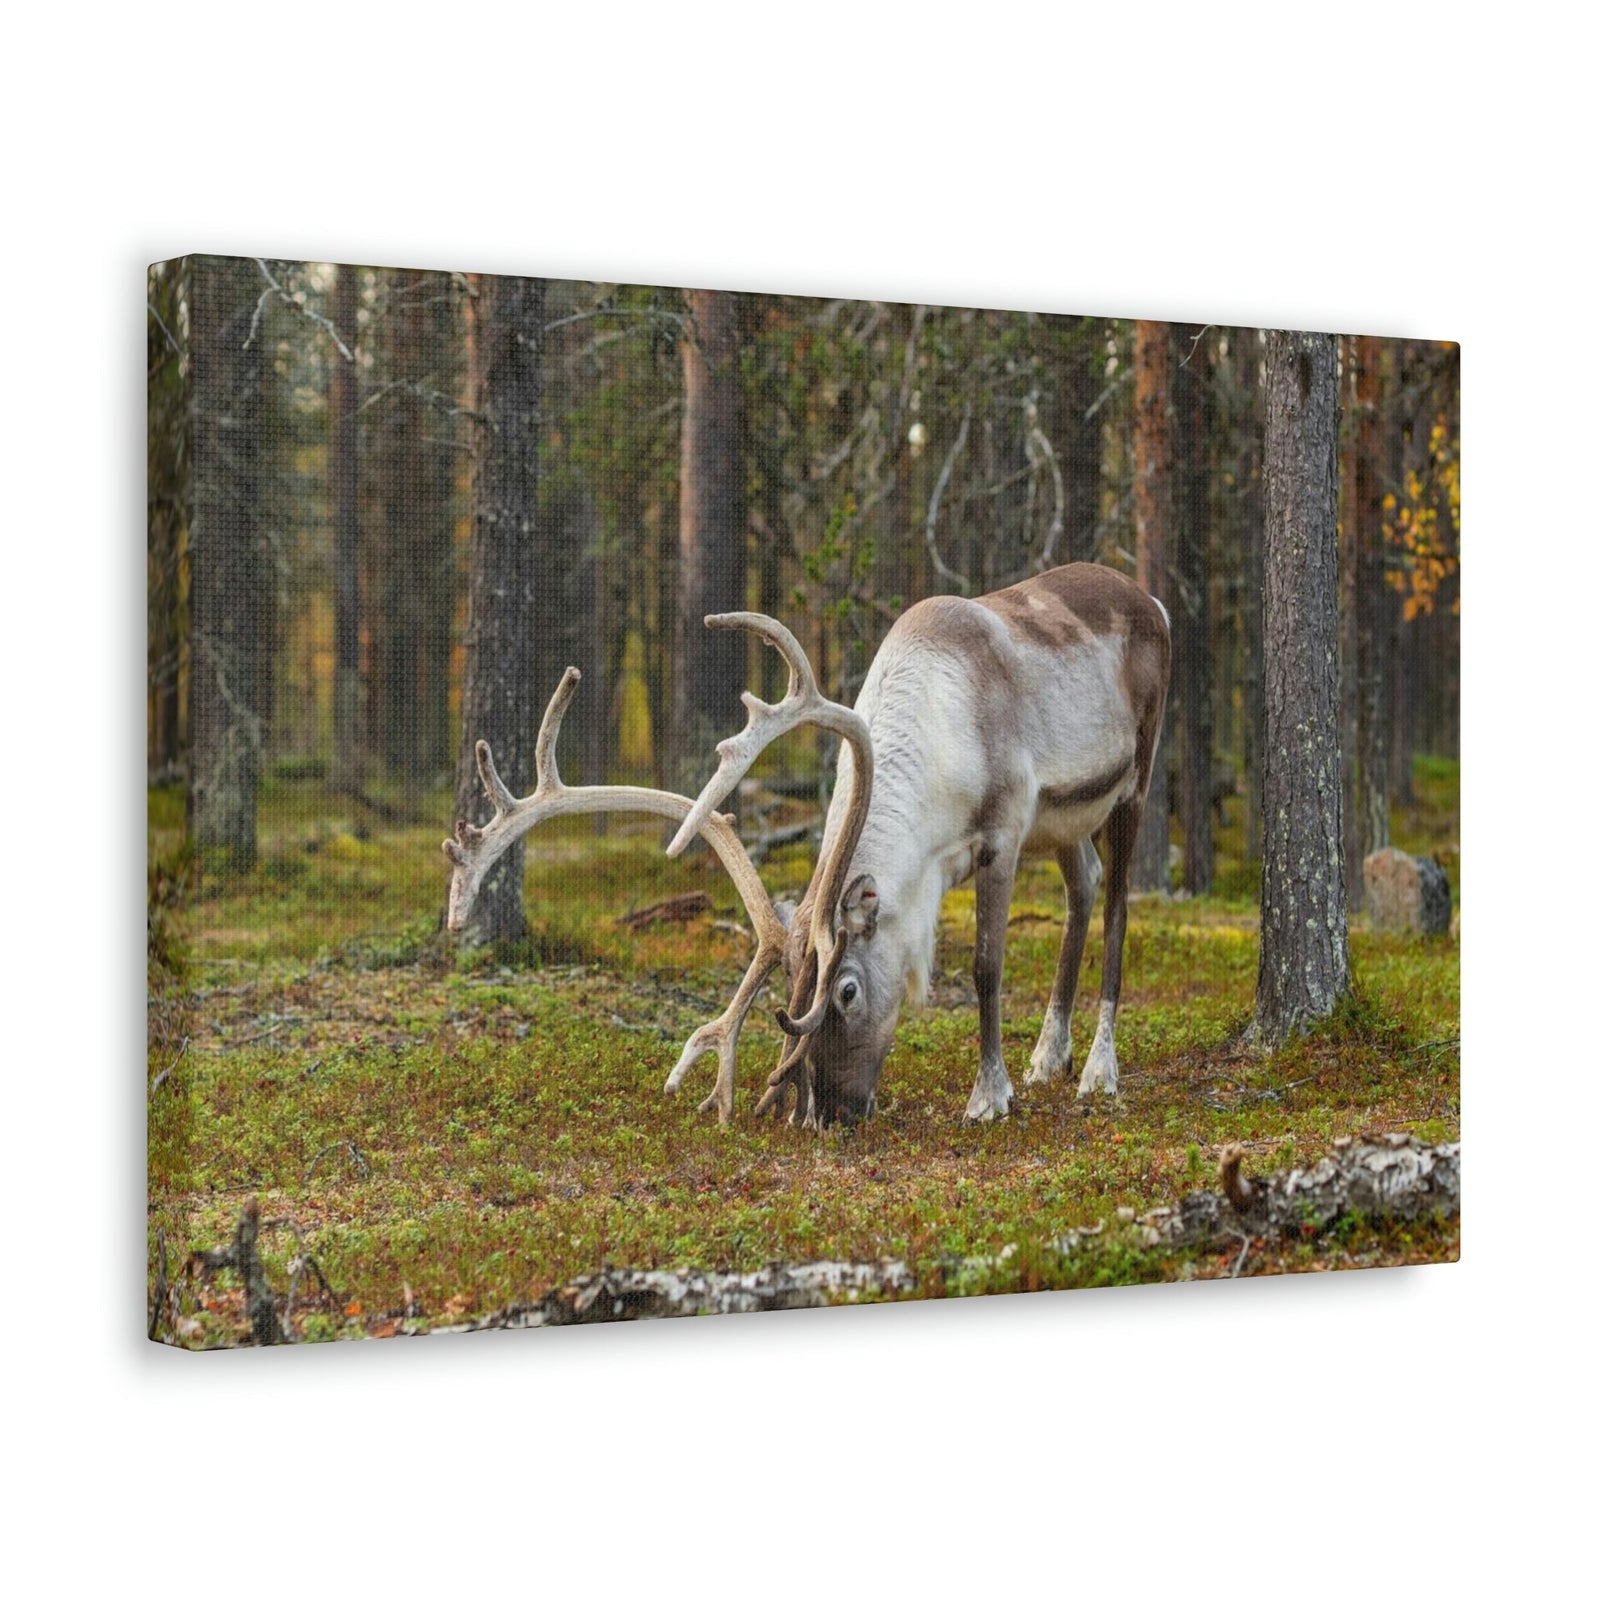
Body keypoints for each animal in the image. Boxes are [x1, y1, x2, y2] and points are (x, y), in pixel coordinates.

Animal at [444, 561, 1170, 1129]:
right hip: (1067, 818)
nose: (832, 1112)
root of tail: (1151, 599)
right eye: (790, 996)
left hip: (1135, 779)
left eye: (844, 991)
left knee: (1118, 907)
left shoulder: (1006, 830)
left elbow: (987, 967)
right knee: (1084, 888)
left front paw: (988, 1097)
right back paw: (1050, 1054)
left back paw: (1098, 1069)